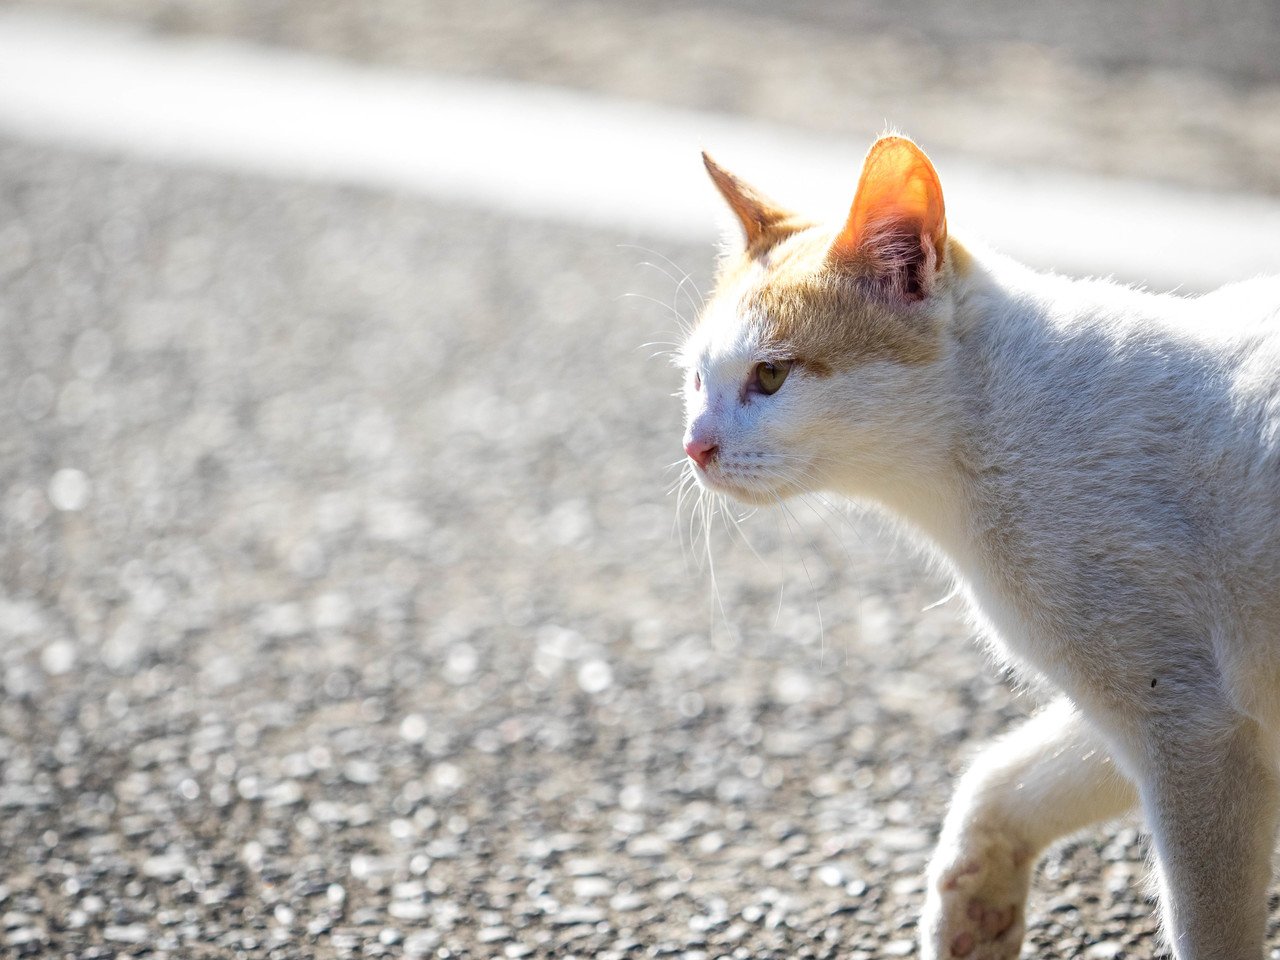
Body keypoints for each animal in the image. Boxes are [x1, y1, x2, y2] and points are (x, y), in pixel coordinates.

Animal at [686, 136, 1280, 960]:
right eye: (696, 378)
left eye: (770, 376)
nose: (694, 446)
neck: (1001, 420)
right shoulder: (1191, 713)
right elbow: (1001, 779)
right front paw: (971, 906)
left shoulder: (1194, 728)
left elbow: (1209, 925)